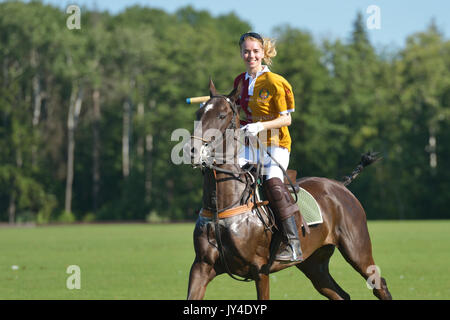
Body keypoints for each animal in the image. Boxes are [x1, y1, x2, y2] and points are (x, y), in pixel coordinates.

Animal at [186, 80, 390, 300]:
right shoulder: (201, 266)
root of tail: (340, 185)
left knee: (379, 285)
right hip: (314, 263)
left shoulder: (259, 269)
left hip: (357, 249)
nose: (192, 150)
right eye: (199, 113)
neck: (223, 204)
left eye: (222, 115)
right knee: (340, 294)